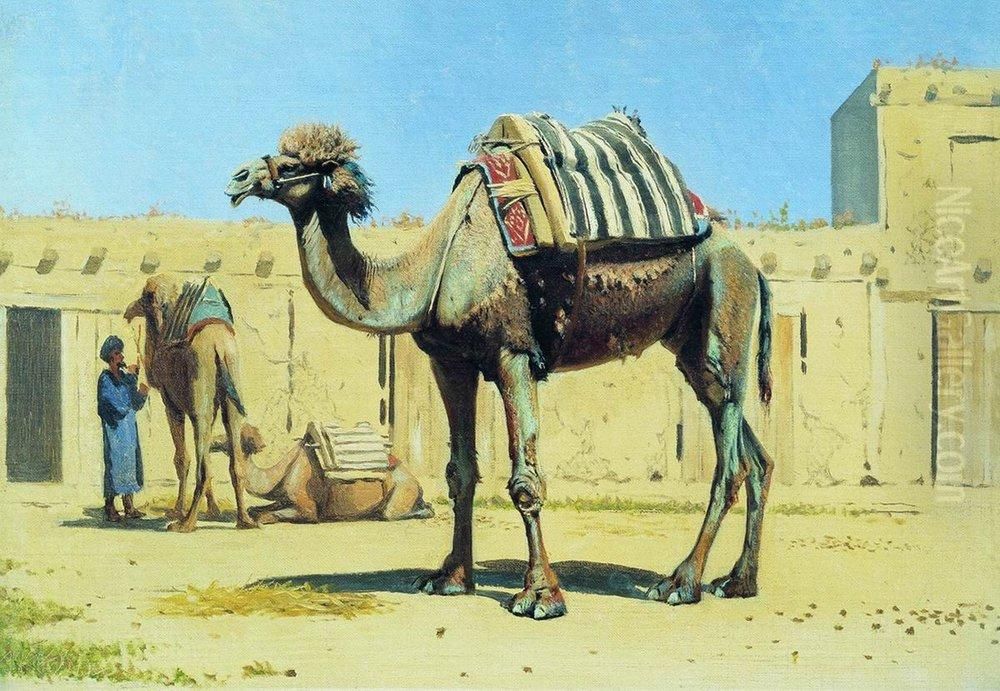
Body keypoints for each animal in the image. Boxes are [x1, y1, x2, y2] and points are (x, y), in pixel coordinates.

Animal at [124, 274, 259, 532]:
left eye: (146, 297)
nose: (129, 310)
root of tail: (219, 346)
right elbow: (207, 453)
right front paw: (214, 511)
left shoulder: (171, 403)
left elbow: (182, 458)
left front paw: (176, 510)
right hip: (232, 384)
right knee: (234, 455)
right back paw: (245, 520)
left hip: (200, 386)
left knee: (200, 463)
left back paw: (185, 523)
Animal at [226, 120, 774, 619]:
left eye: (292, 165)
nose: (238, 176)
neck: (432, 273)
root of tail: (753, 266)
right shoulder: (451, 361)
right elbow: (460, 473)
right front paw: (449, 578)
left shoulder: (514, 355)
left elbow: (525, 480)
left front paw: (541, 597)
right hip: (693, 351)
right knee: (756, 456)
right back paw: (738, 583)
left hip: (724, 316)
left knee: (730, 464)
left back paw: (681, 583)